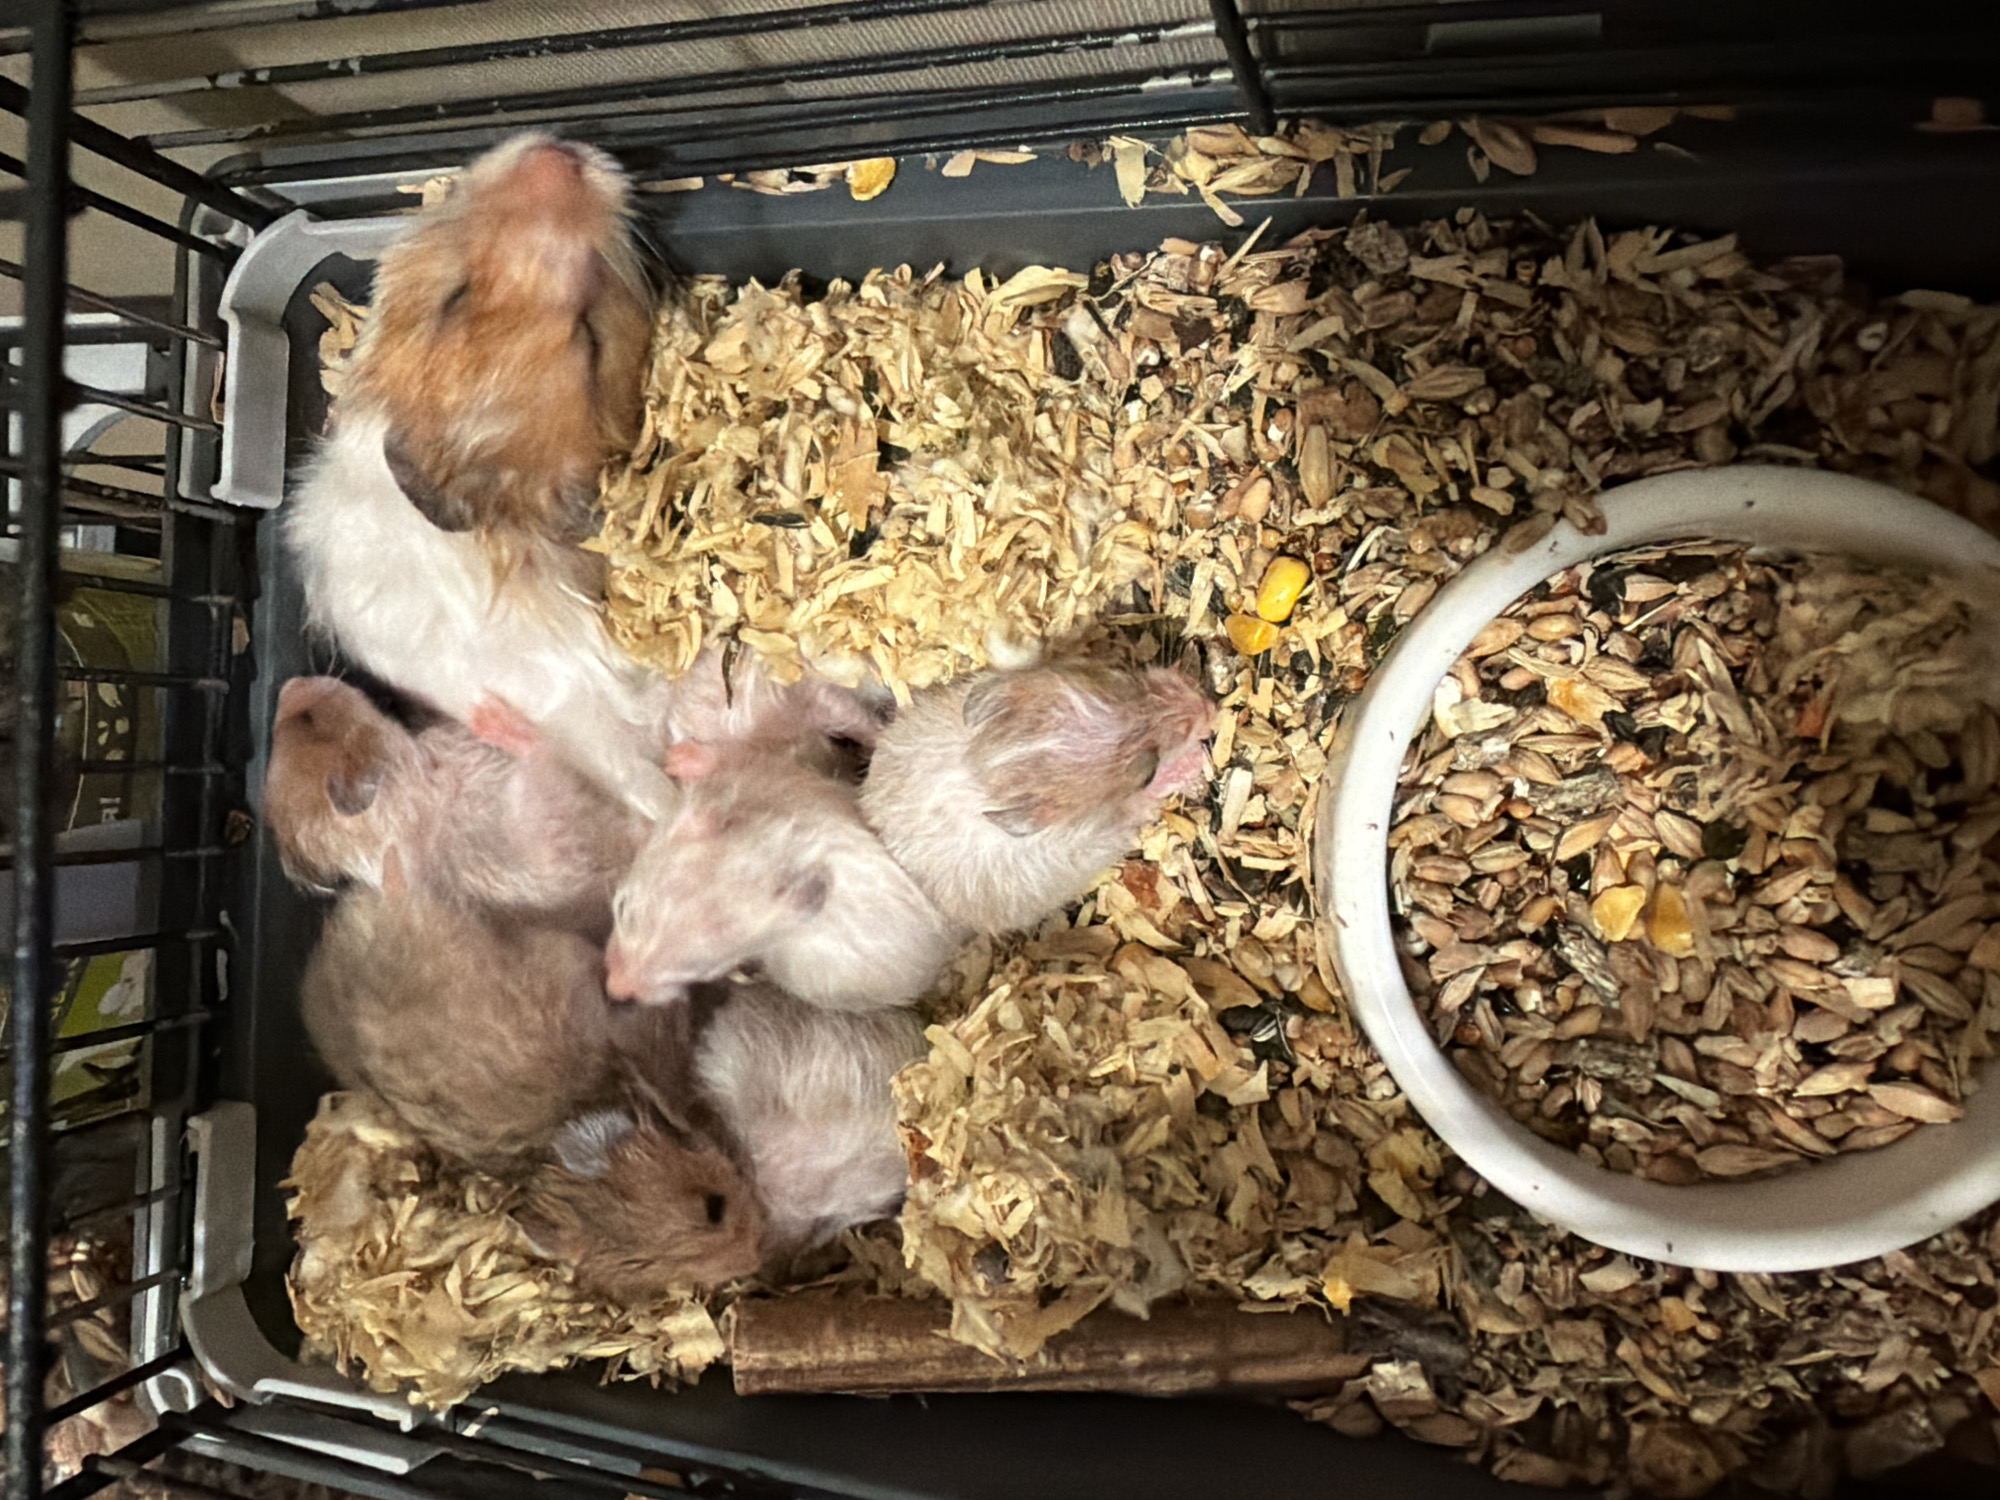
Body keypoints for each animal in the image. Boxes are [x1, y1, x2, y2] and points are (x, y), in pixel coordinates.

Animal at [605, 749, 965, 1011]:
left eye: (700, 968)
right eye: (623, 909)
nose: (614, 989)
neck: (778, 854)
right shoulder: (774, 777)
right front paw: (678, 759)